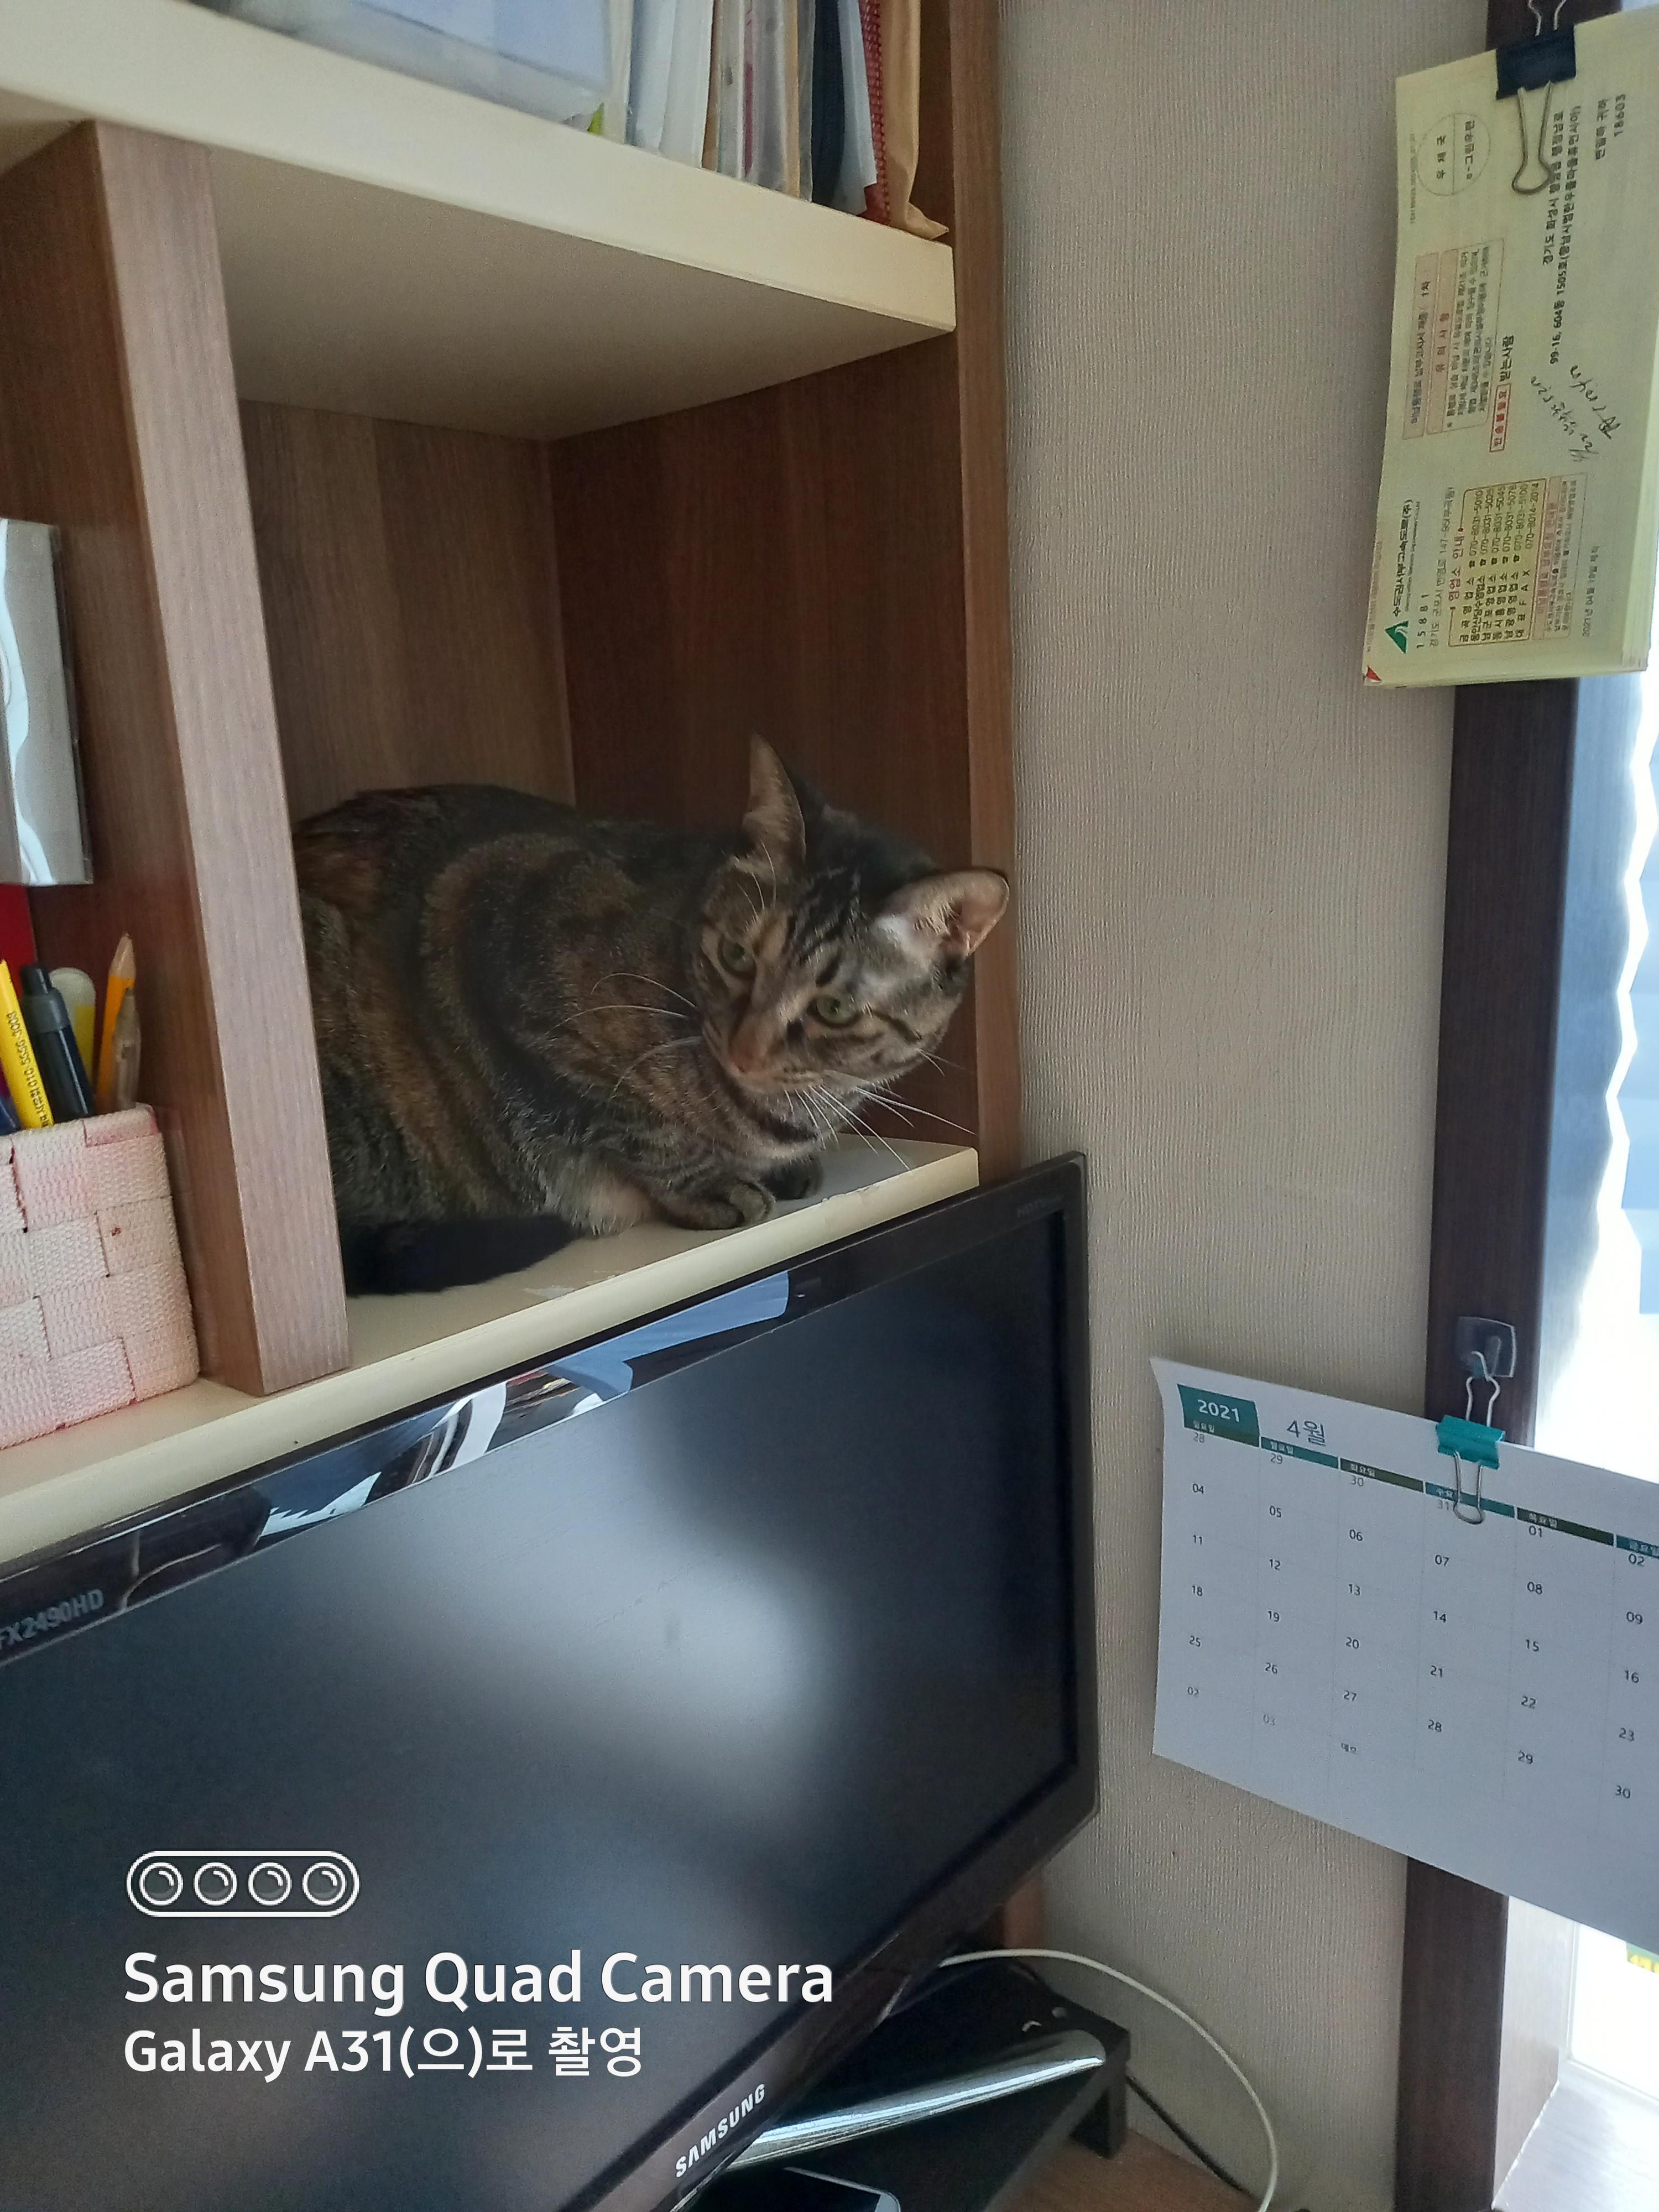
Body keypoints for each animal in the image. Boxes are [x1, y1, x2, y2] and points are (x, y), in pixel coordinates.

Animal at [294, 739, 1008, 1294]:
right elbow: (632, 1120)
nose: (745, 1052)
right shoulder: (489, 939)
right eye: (736, 956)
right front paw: (710, 1183)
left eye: (833, 1008)